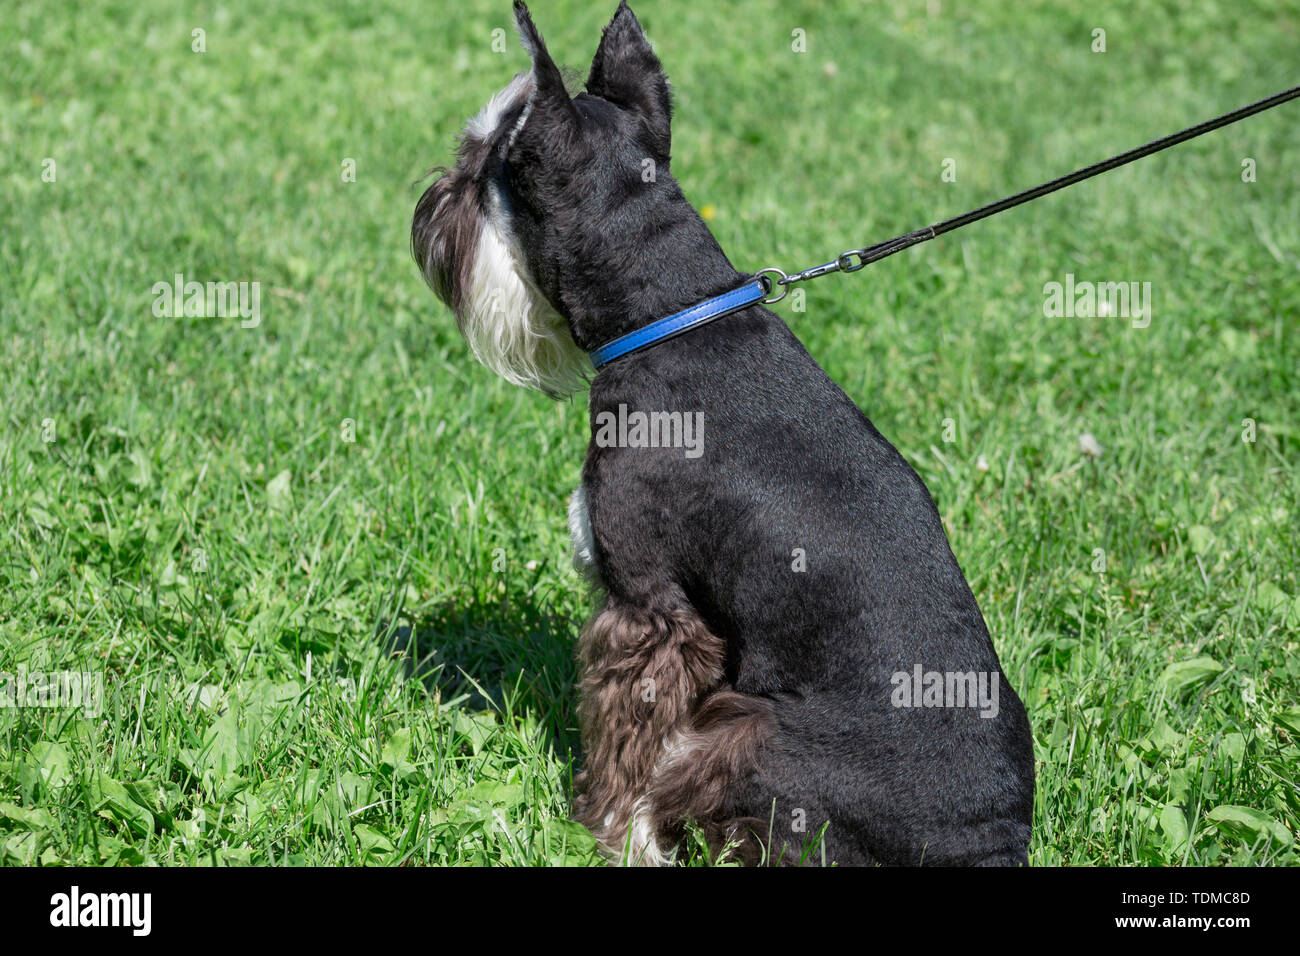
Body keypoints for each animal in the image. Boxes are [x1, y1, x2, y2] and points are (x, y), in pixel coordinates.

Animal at [410, 1, 1029, 868]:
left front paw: (607, 831)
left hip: (745, 730)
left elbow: (630, 738)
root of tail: (990, 845)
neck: (668, 308)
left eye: (477, 166)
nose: (432, 197)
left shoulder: (650, 608)